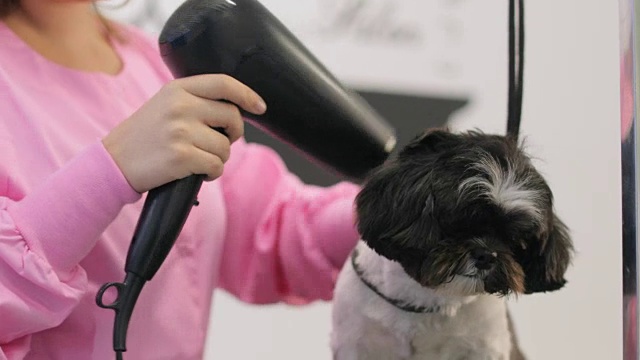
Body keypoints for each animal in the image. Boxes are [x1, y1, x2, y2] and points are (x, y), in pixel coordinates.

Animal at [330, 129, 576, 360]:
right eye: (460, 223)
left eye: (514, 239)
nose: (487, 255)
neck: (426, 303)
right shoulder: (355, 343)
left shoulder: (485, 347)